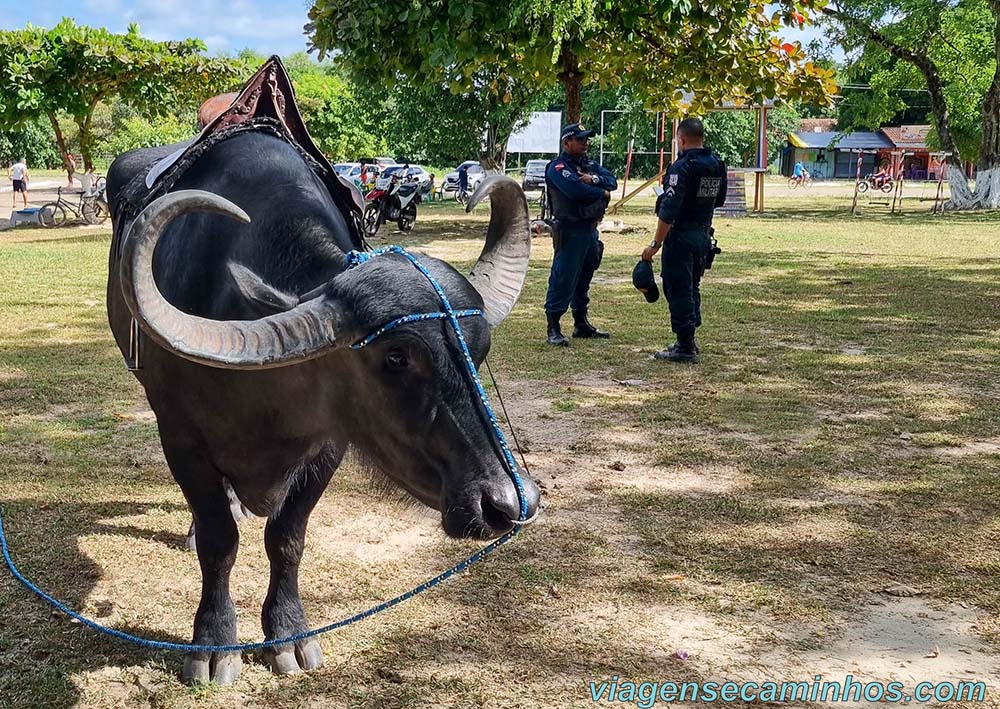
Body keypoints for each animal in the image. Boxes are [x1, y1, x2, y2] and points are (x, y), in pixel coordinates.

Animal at [107, 126, 540, 680]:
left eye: (479, 349)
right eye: (396, 357)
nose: (506, 503)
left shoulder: (329, 444)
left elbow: (287, 539)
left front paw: (289, 635)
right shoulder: (180, 438)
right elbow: (219, 541)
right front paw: (213, 644)